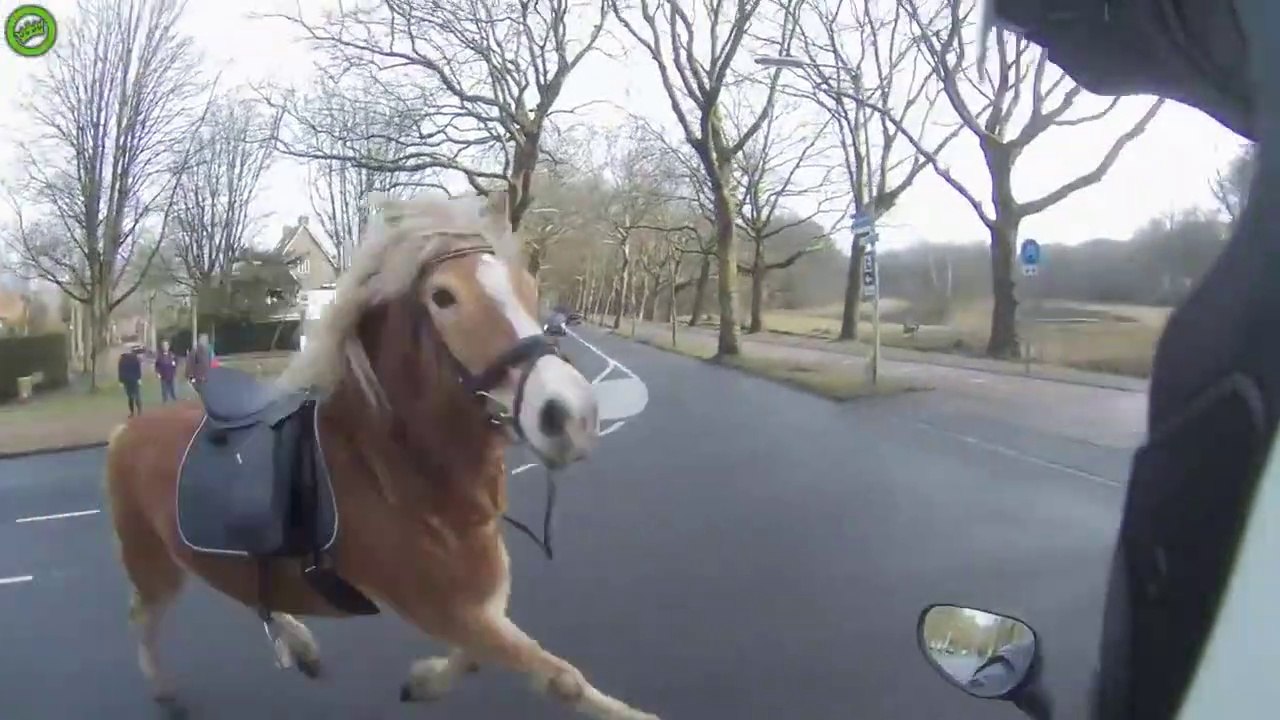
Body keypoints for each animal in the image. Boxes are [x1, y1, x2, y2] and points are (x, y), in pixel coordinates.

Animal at [103, 190, 660, 720]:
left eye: (527, 286)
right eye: (443, 296)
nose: (571, 414)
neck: (393, 472)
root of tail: (125, 431)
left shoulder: (473, 604)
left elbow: (478, 658)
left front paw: (421, 682)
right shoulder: (440, 606)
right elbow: (561, 679)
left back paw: (296, 644)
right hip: (153, 562)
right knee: (143, 614)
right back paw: (168, 688)